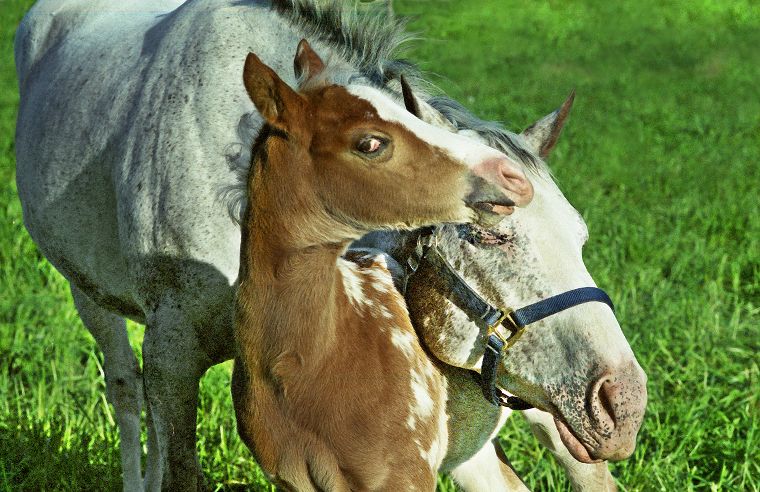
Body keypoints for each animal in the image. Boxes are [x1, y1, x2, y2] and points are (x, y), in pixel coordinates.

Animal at [14, 0, 646, 489]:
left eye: (580, 238)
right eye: (489, 232)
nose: (624, 402)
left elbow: (588, 473)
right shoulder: (171, 356)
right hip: (89, 296)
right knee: (124, 392)